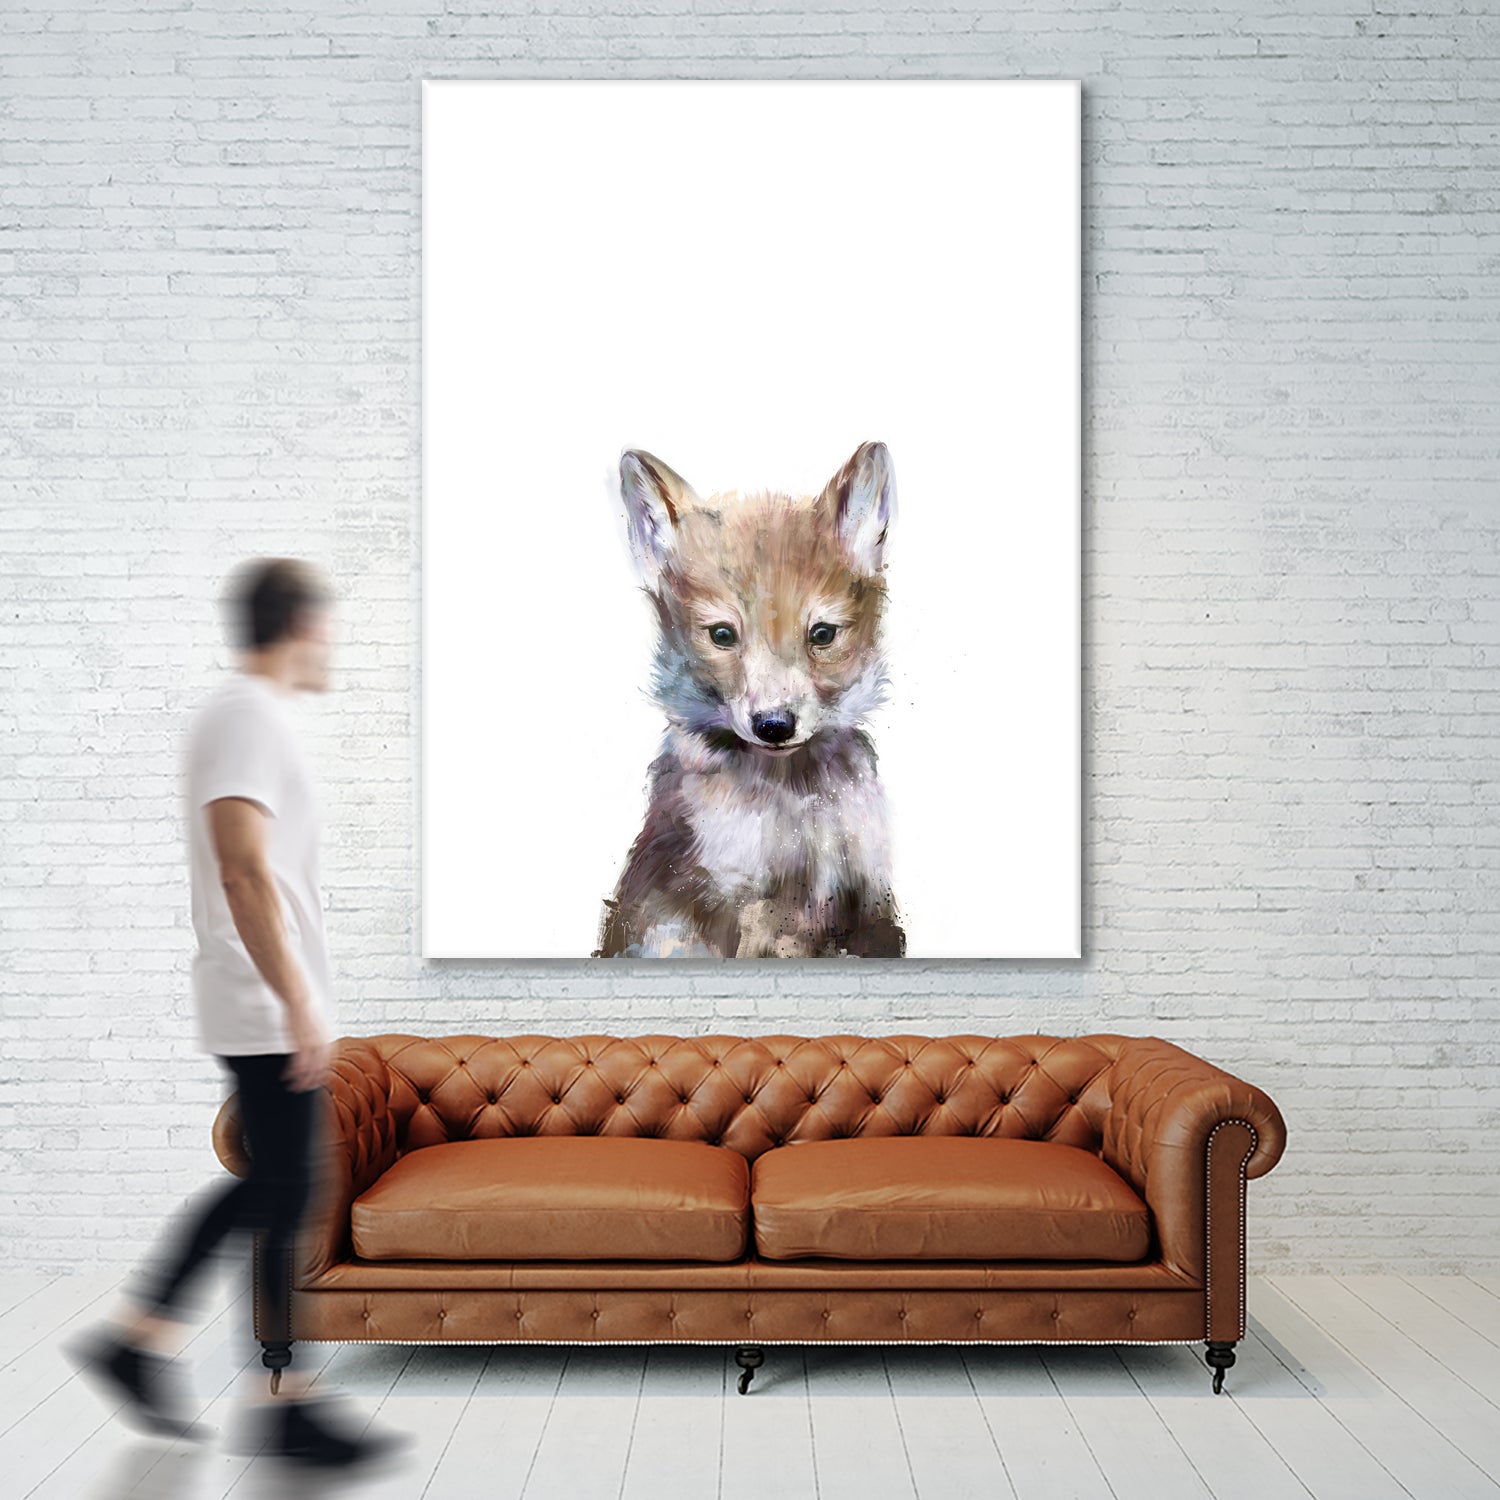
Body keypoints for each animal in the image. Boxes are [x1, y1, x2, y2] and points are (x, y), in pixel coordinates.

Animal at [595, 440, 906, 959]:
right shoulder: (740, 904)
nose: (774, 726)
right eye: (722, 635)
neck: (795, 805)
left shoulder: (867, 898)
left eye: (822, 634)